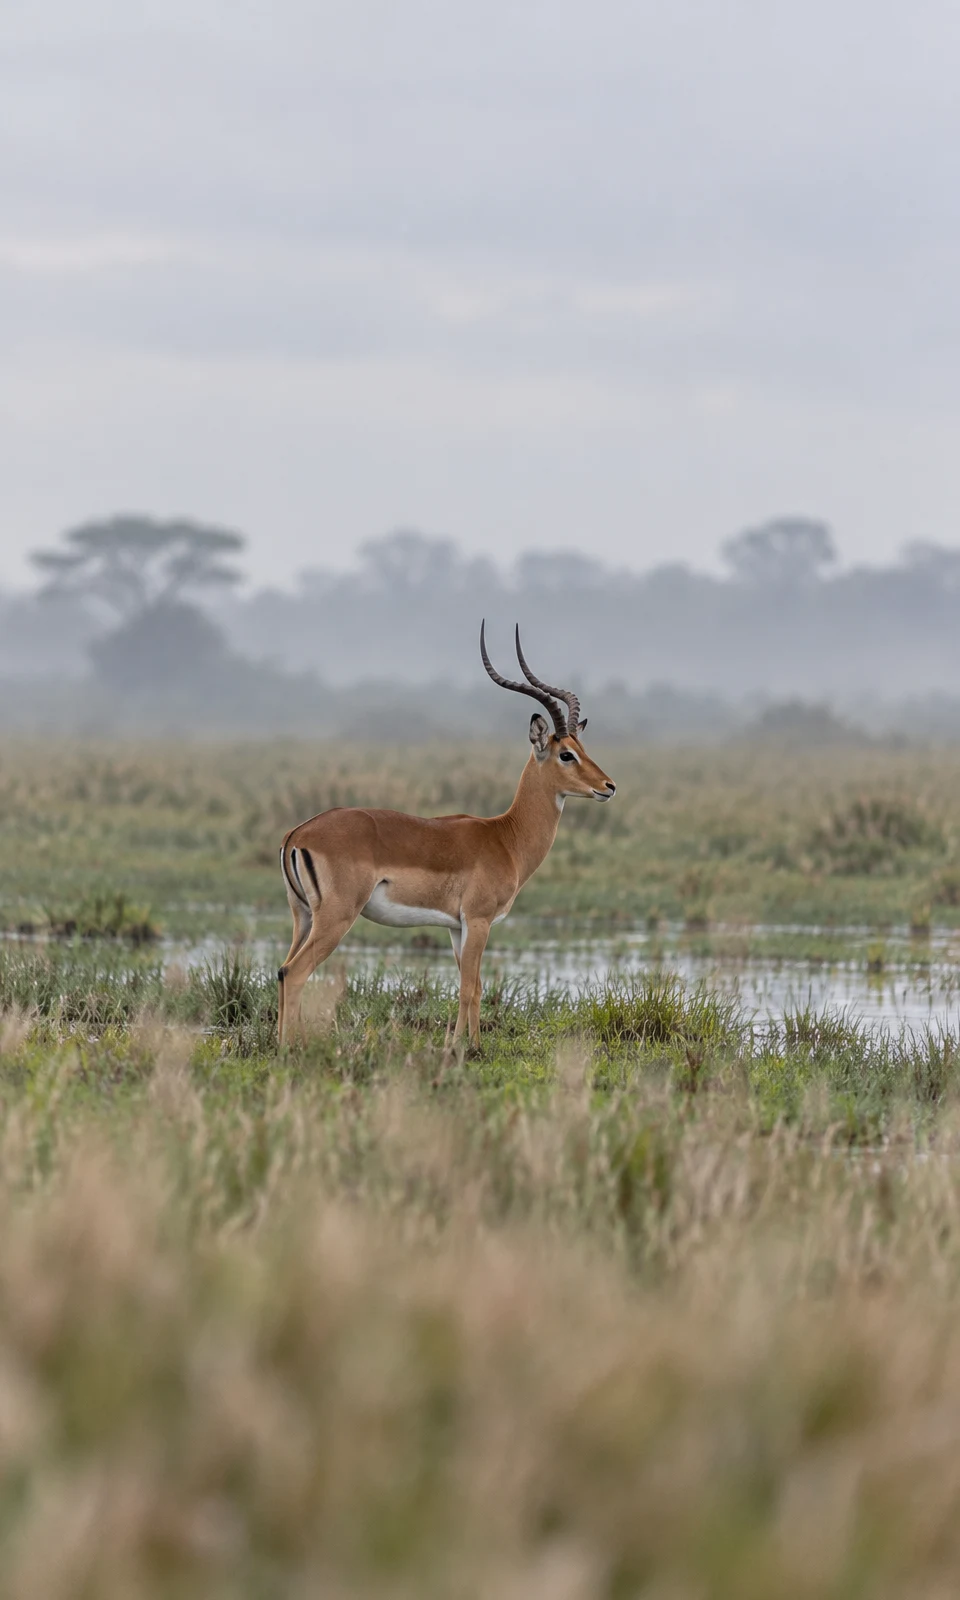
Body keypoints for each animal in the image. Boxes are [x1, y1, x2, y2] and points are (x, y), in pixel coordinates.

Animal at [277, 623, 616, 1046]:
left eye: (582, 746)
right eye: (566, 754)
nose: (608, 786)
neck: (505, 836)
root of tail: (298, 833)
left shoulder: (457, 927)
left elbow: (476, 986)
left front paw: (472, 1043)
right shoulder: (479, 920)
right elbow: (469, 987)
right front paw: (461, 1047)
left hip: (303, 915)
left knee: (282, 969)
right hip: (336, 917)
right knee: (295, 972)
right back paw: (293, 1048)